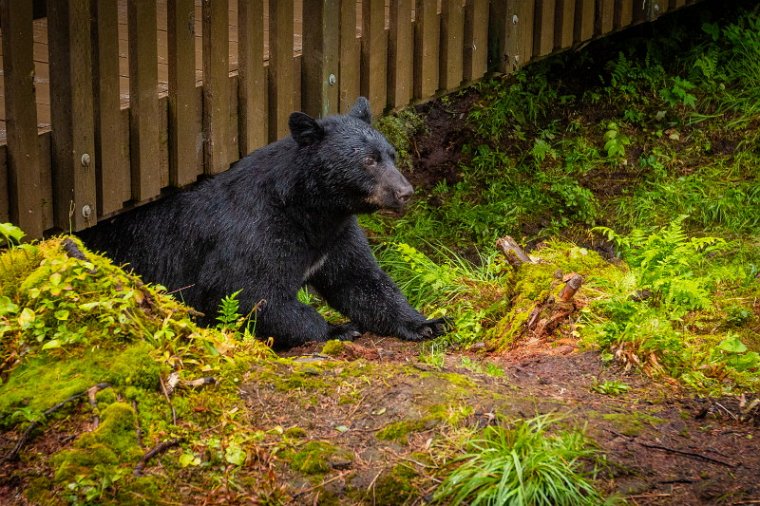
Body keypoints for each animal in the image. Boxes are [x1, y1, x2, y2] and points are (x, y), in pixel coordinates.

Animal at [82, 97, 448, 348]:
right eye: (369, 161)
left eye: (391, 154)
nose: (405, 192)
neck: (310, 210)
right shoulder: (257, 231)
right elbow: (249, 292)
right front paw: (337, 328)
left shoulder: (337, 235)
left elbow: (361, 280)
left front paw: (427, 322)